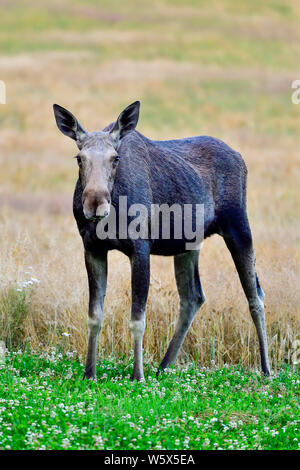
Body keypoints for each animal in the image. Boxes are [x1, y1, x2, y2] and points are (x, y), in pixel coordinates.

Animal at [52, 101, 270, 380]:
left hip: (238, 225)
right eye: (79, 158)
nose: (95, 203)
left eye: (115, 158)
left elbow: (137, 319)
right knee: (193, 296)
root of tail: (240, 158)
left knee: (255, 296)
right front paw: (89, 373)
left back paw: (266, 369)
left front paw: (137, 375)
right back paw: (163, 366)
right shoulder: (92, 247)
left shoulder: (140, 247)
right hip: (188, 245)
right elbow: (94, 315)